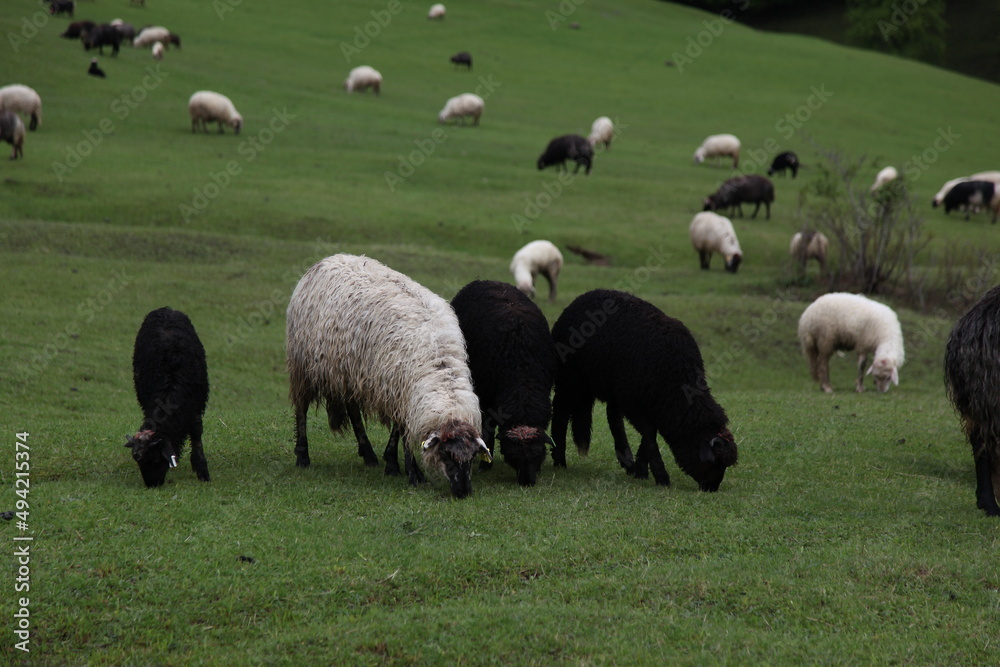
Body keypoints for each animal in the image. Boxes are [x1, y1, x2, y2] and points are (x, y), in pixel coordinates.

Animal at [125, 307, 210, 488]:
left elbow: (197, 434)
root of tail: (166, 309)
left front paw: (202, 470)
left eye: (156, 459)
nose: (152, 485)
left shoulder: (195, 407)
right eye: (138, 462)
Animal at [286, 254, 490, 499]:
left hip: (349, 371)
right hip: (303, 365)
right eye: (446, 454)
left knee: (353, 409)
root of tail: (329, 259)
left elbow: (398, 429)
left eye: (472, 457)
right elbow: (403, 432)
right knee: (302, 408)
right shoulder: (398, 387)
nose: (463, 492)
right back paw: (302, 455)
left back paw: (368, 453)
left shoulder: (400, 391)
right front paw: (412, 472)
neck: (439, 366)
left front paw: (391, 462)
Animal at [451, 280, 558, 486]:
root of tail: (485, 280)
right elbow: (487, 429)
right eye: (514, 455)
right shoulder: (485, 397)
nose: (527, 482)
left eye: (538, 455)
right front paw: (485, 465)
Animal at [550, 289, 739, 491]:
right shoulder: (635, 402)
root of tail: (581, 297)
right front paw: (661, 477)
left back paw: (627, 462)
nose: (712, 488)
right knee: (560, 413)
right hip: (570, 380)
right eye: (715, 461)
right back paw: (559, 460)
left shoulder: (652, 402)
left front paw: (640, 470)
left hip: (612, 387)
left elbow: (648, 434)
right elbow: (649, 434)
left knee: (613, 418)